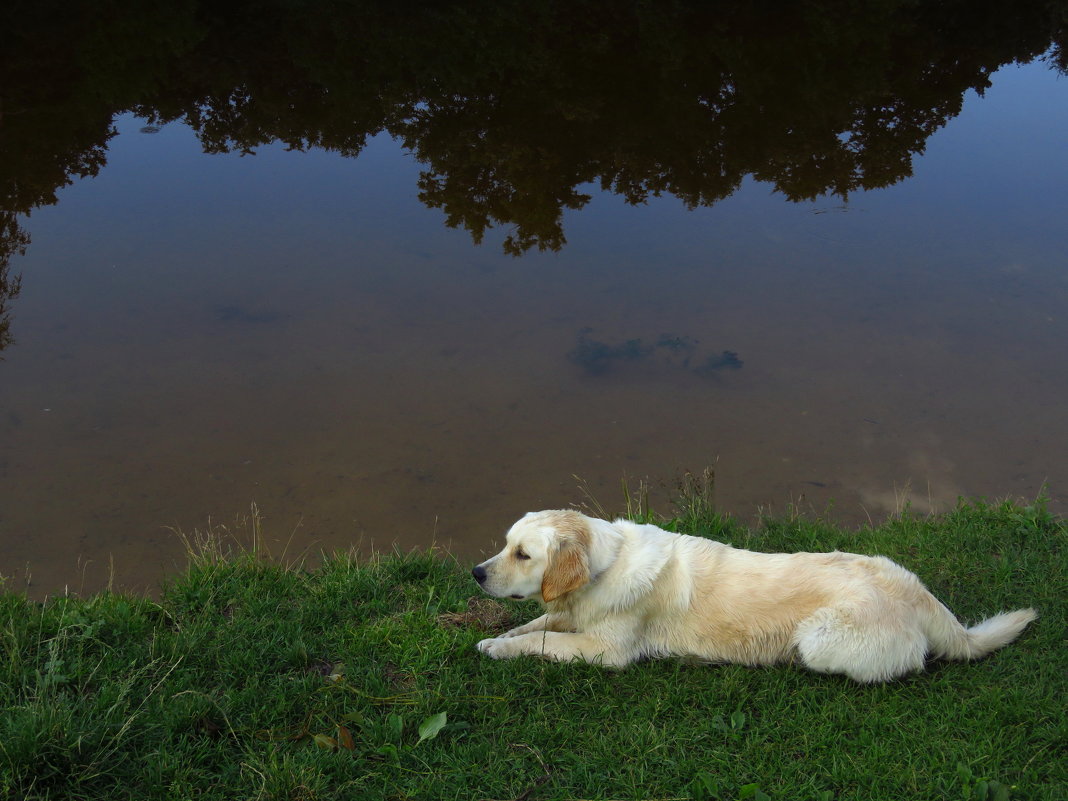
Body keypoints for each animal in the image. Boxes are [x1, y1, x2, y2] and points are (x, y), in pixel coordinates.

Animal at [469, 510, 1033, 679]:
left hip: (819, 638)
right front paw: (496, 639)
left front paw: (501, 647)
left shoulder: (607, 652)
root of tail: (918, 592)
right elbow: (536, 625)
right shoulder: (575, 618)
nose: (476, 572)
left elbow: (544, 641)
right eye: (505, 544)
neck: (602, 568)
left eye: (523, 554)